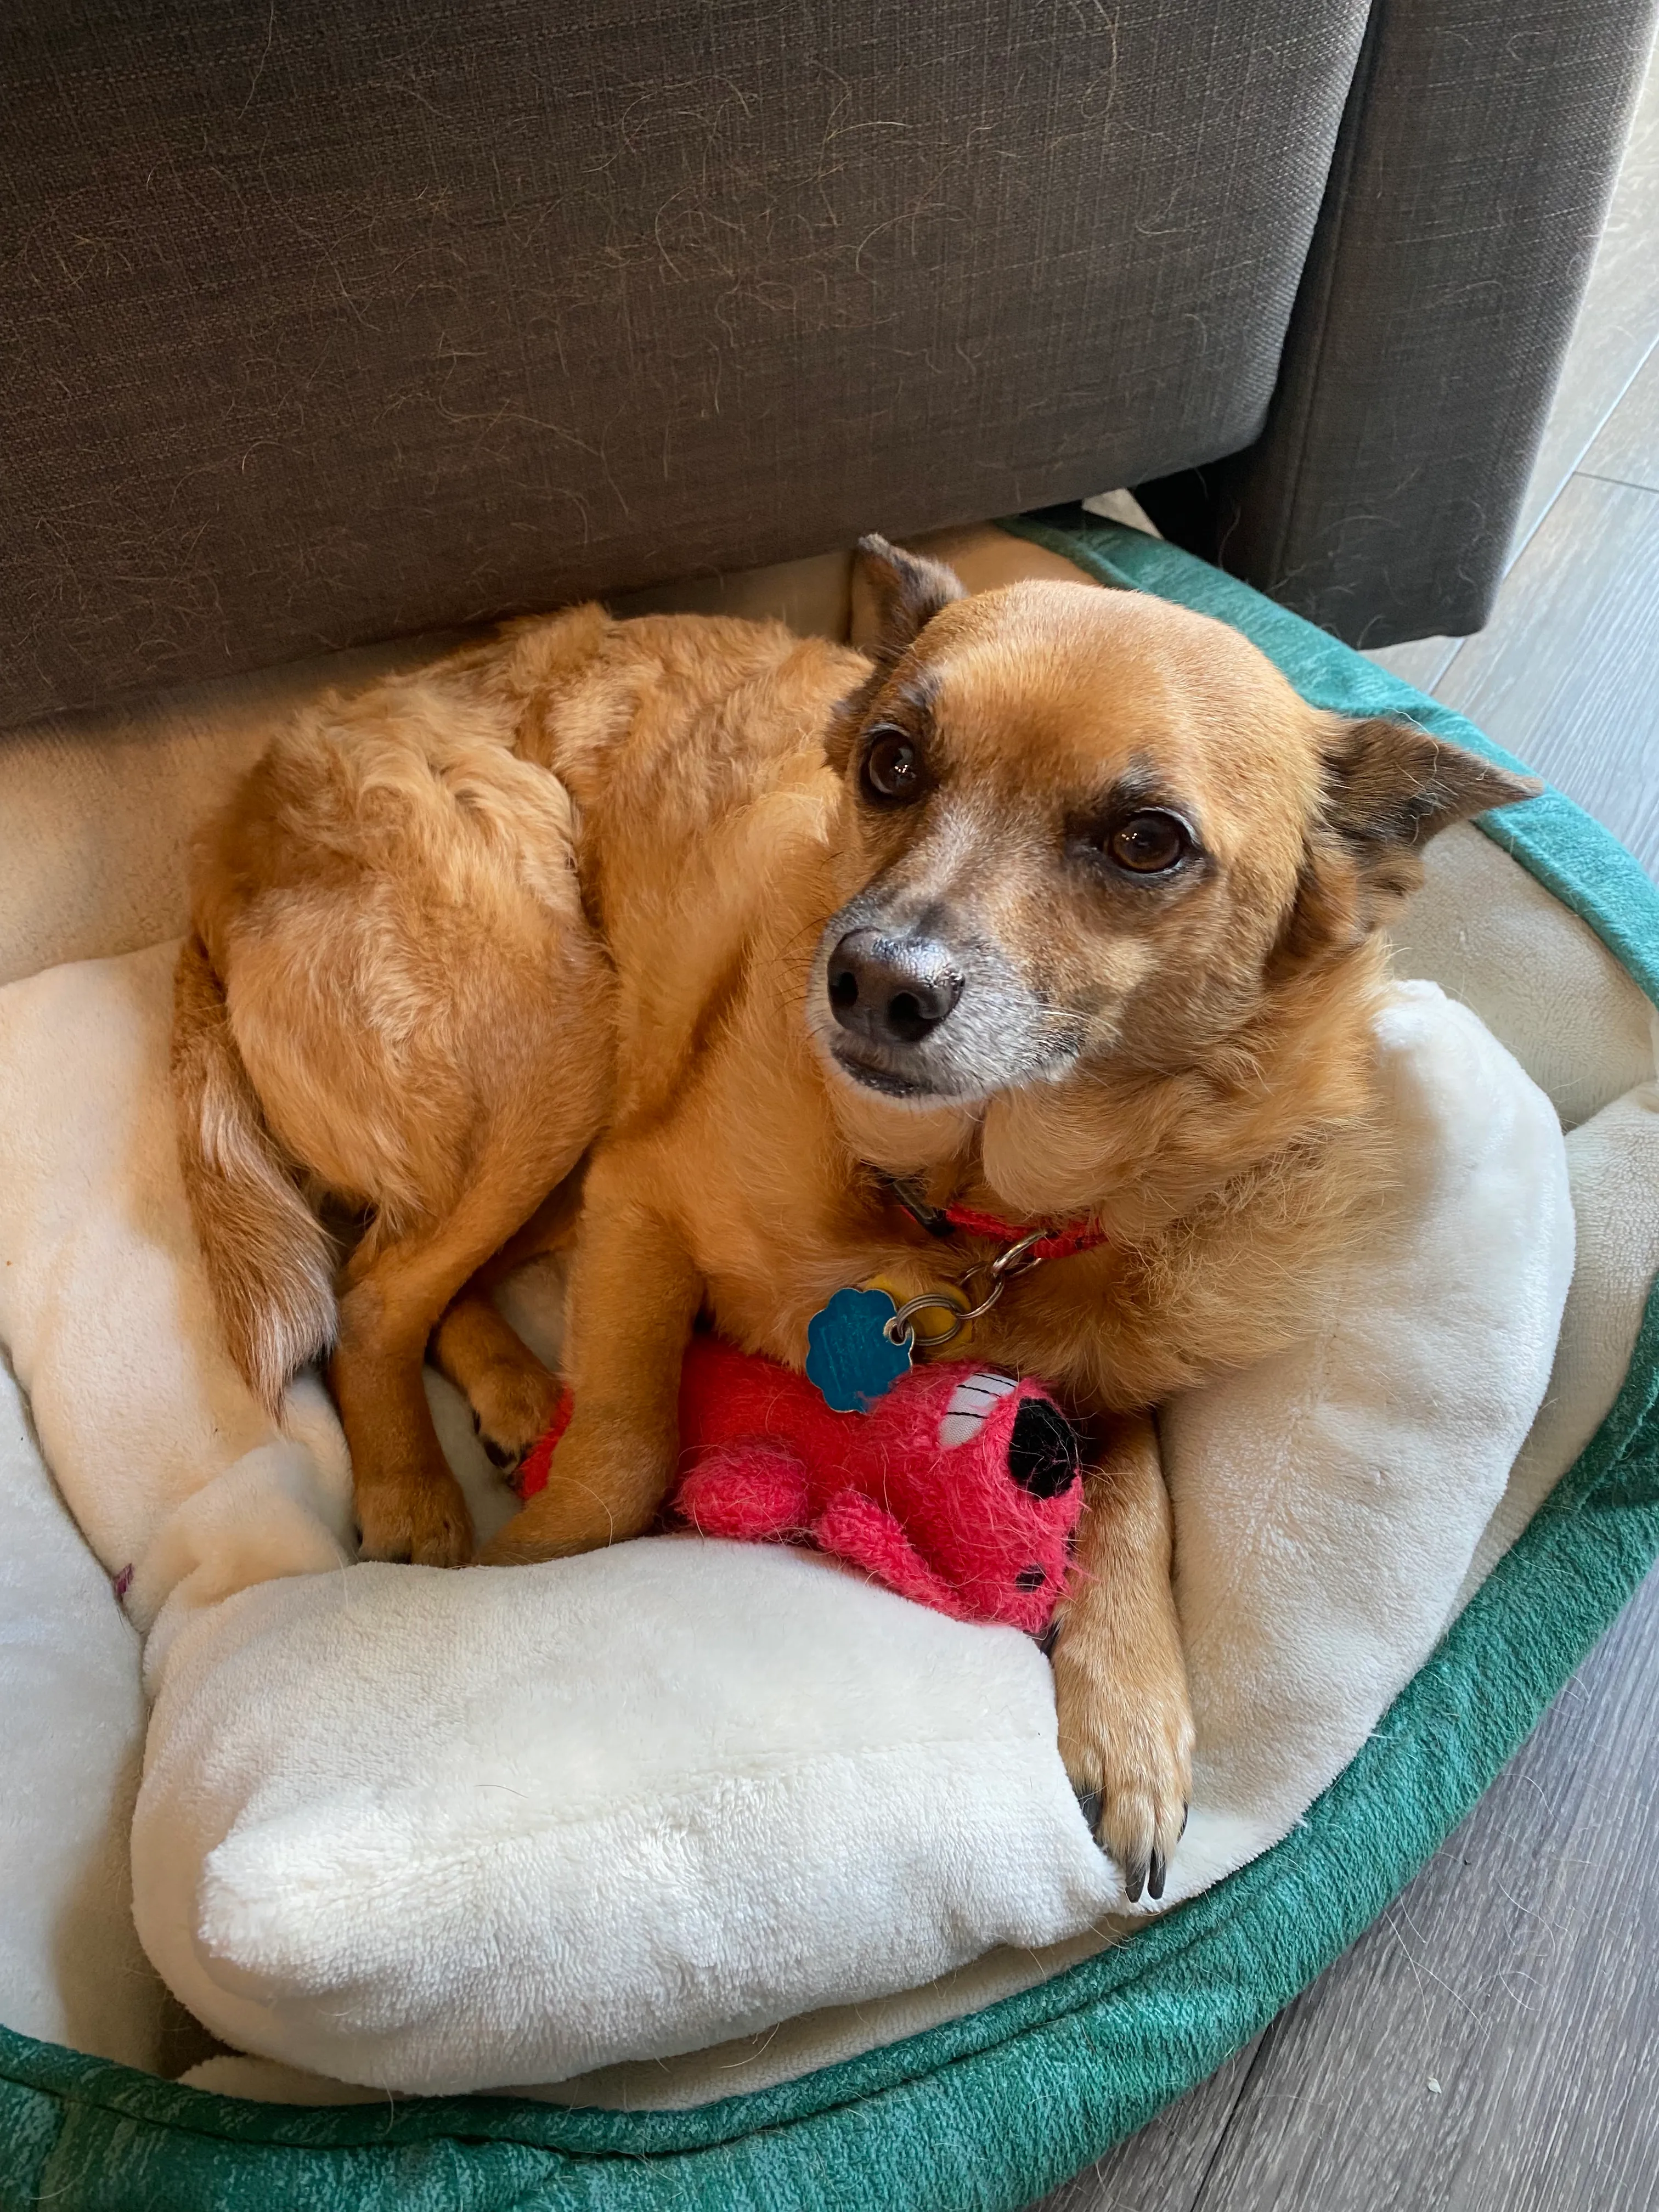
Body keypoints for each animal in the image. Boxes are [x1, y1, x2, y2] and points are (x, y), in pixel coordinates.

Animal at [176, 539, 1539, 1902]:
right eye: (891, 762)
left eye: (1148, 841)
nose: (874, 982)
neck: (963, 1210)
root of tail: (239, 821)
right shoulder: (642, 1194)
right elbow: (625, 1453)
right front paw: (522, 1576)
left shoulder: (1099, 1358)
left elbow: (1135, 1486)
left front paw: (1134, 1713)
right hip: (566, 1041)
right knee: (373, 1291)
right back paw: (418, 1494)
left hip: (574, 1113)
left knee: (412, 1266)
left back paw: (510, 1388)